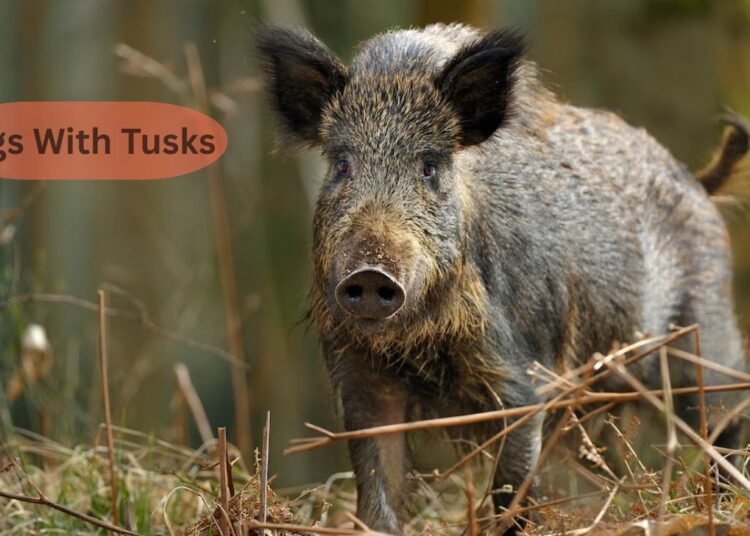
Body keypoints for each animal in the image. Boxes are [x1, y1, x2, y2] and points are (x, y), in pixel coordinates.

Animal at [257, 23, 748, 534]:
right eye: (341, 165)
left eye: (429, 167)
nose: (371, 273)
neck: (422, 343)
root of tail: (700, 184)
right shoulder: (359, 374)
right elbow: (377, 484)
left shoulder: (521, 376)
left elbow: (511, 487)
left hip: (706, 334)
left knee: (727, 411)